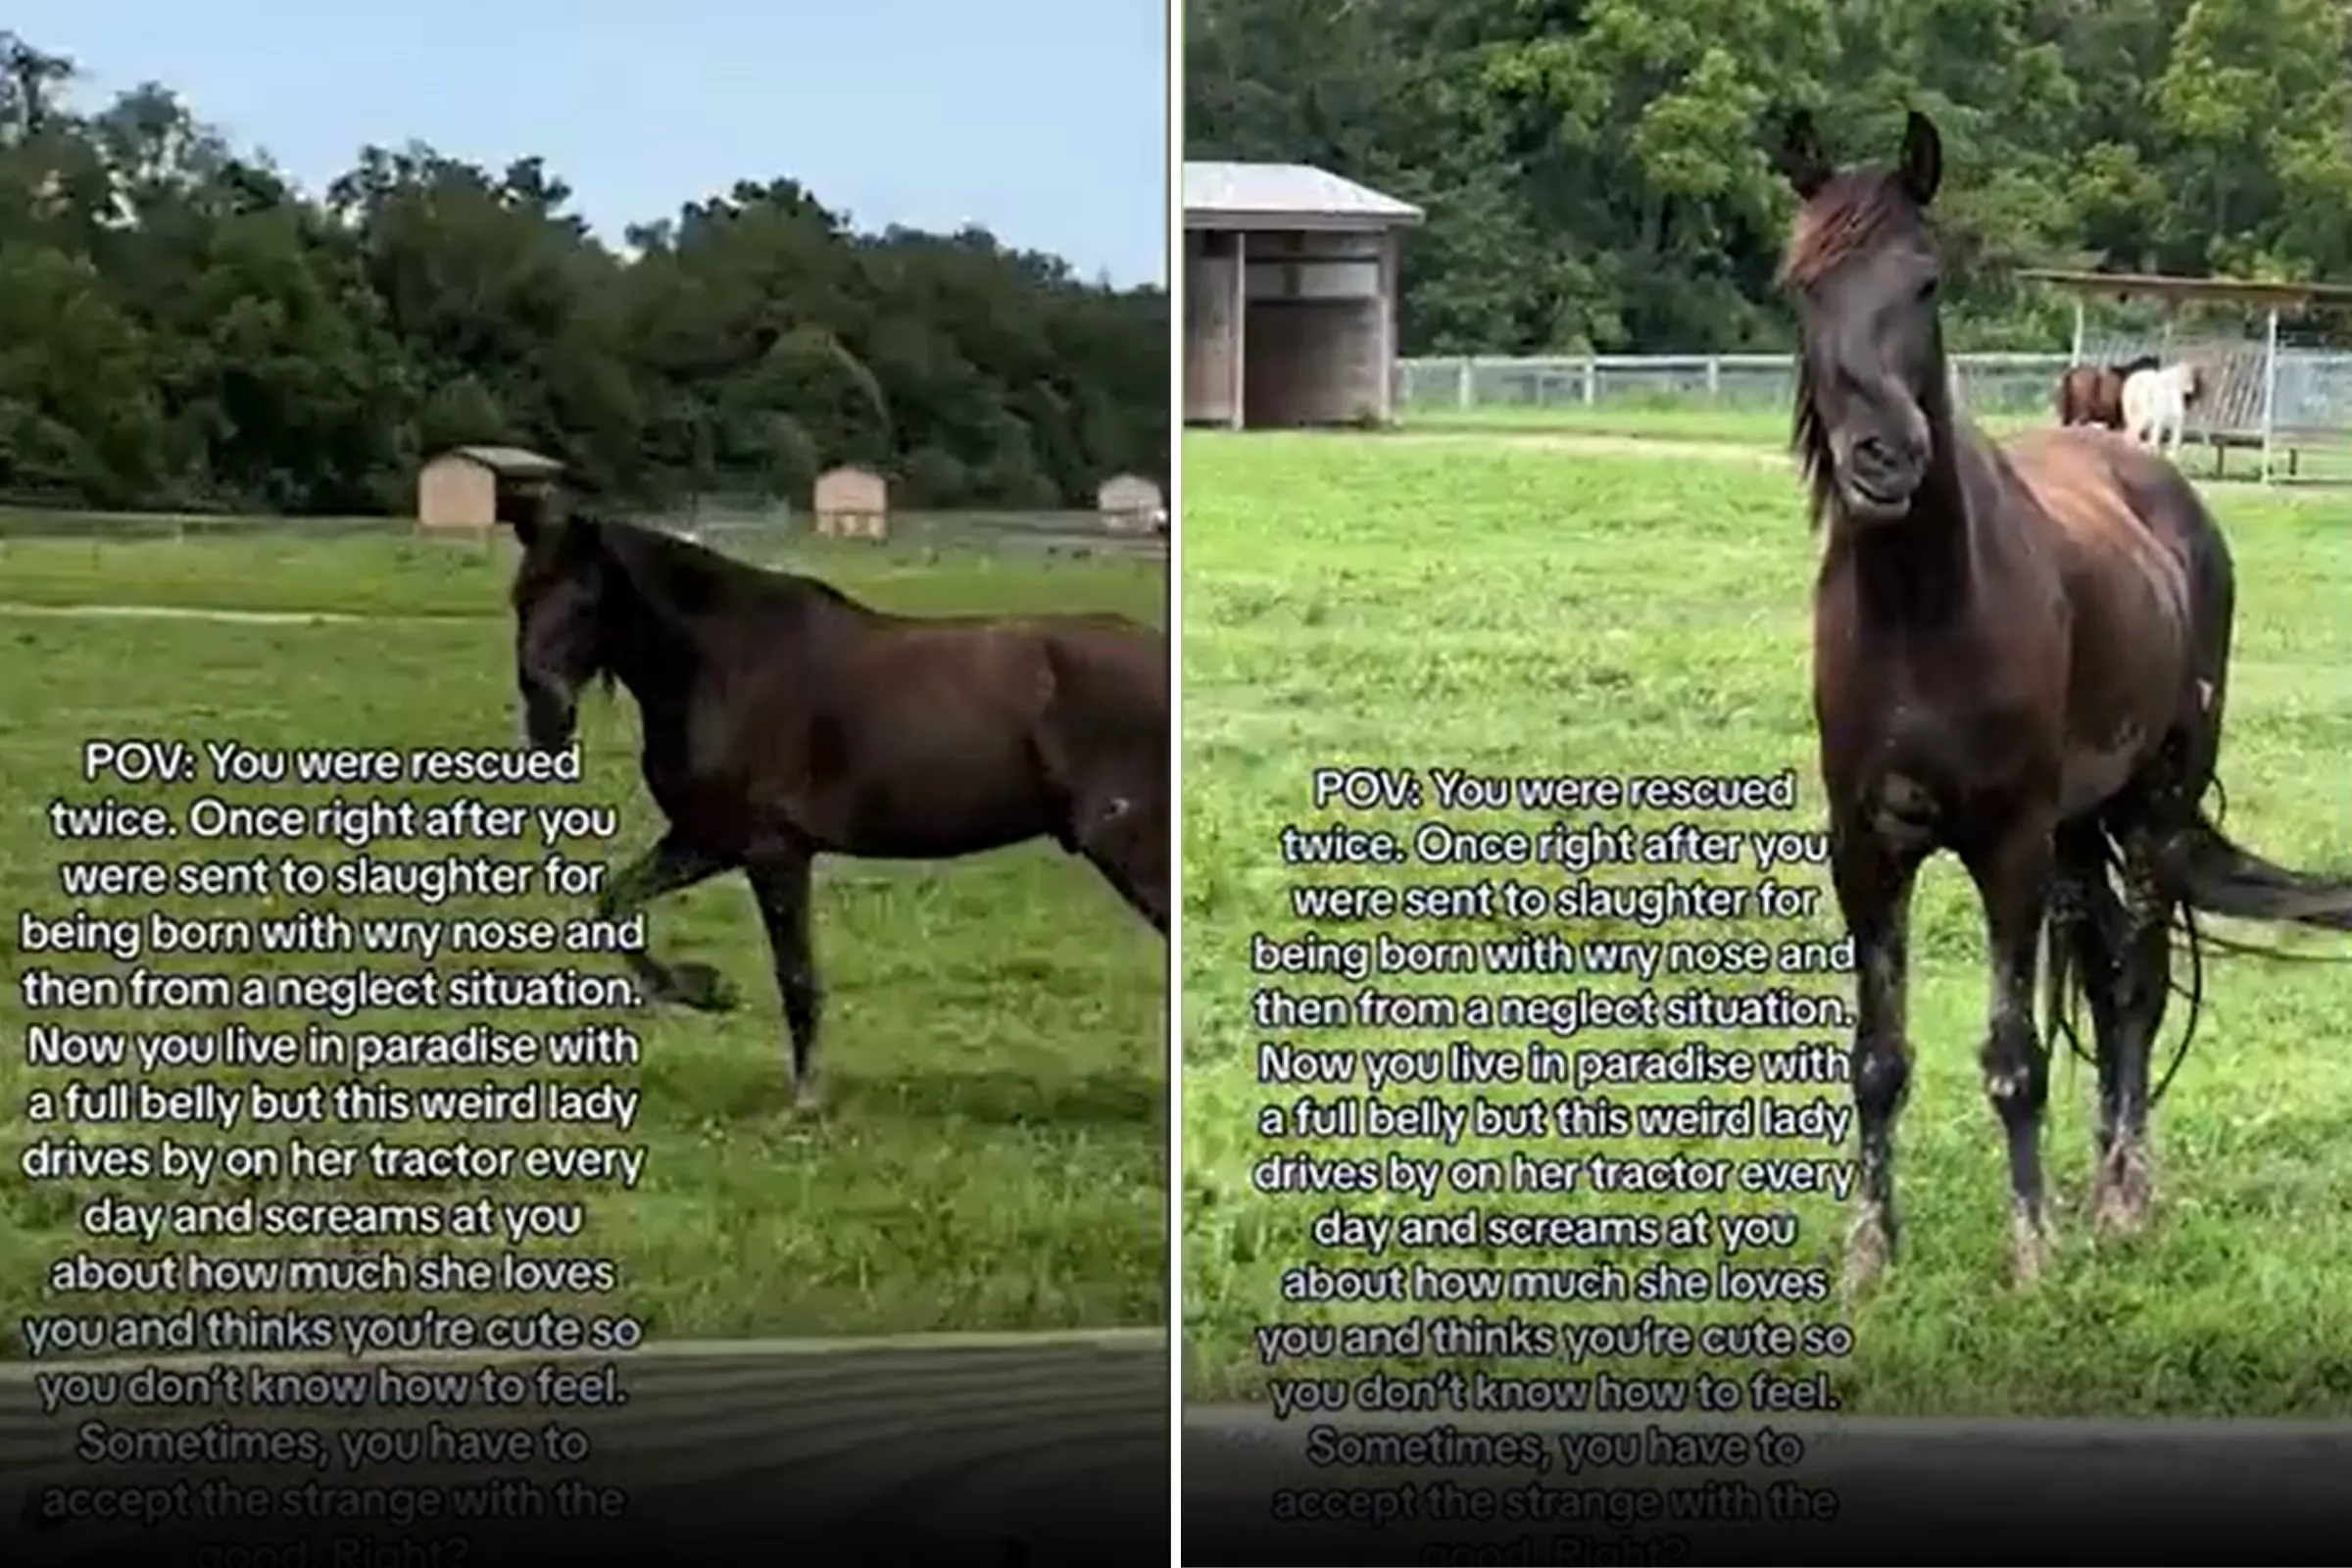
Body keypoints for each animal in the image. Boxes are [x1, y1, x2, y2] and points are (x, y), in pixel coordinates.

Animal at [500, 489, 1169, 1111]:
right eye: (520, 596)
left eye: (585, 598)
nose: (545, 719)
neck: (726, 665)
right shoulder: (706, 840)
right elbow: (615, 904)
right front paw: (706, 990)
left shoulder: (771, 851)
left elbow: (795, 975)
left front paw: (803, 1095)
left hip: (1133, 849)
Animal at [1770, 106, 2352, 1291]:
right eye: (1805, 286)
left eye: (1927, 281)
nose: (1882, 460)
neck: (1923, 611)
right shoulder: (1865, 851)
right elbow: (1877, 1058)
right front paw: (1869, 1255)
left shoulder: (2008, 850)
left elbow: (2013, 1055)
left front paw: (2030, 1251)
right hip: (2085, 829)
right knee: (2105, 970)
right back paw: (2099, 1189)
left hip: (2155, 807)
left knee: (2139, 985)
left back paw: (2123, 1196)